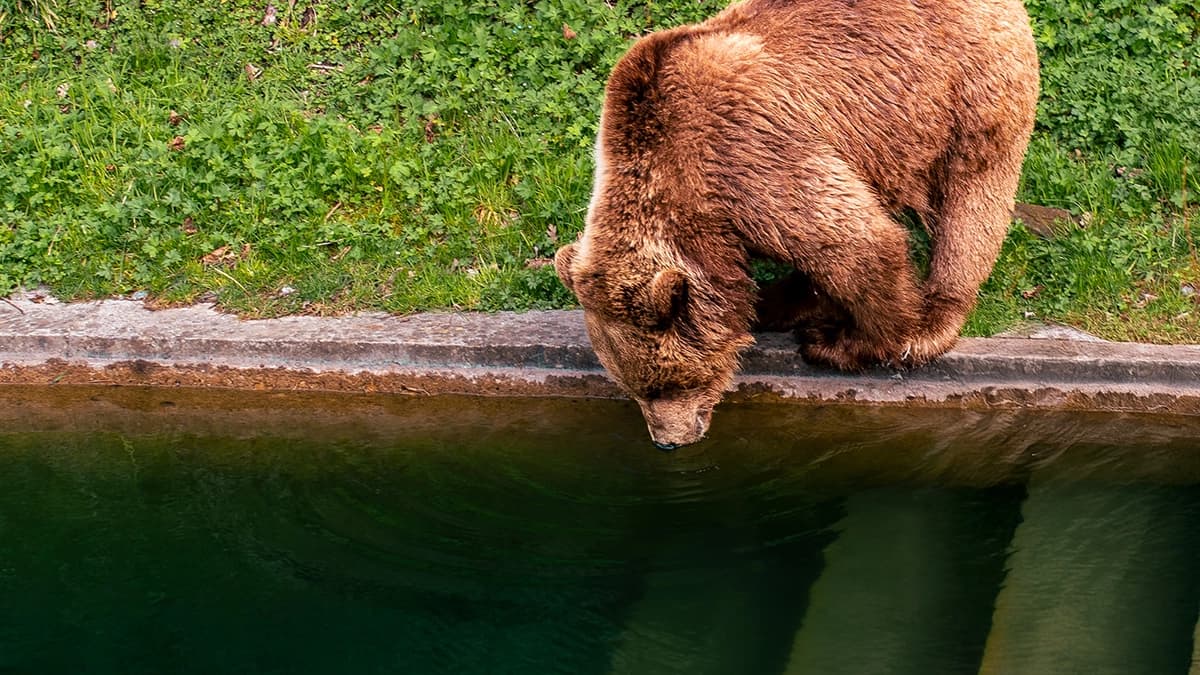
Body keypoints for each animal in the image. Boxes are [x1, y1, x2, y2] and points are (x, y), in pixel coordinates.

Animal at [554, 0, 1039, 449]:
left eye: (666, 383)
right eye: (630, 387)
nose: (668, 441)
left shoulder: (742, 156)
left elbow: (859, 243)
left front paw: (839, 342)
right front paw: (779, 308)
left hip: (970, 90)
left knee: (973, 200)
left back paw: (933, 319)